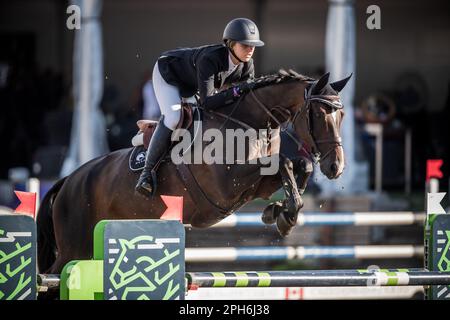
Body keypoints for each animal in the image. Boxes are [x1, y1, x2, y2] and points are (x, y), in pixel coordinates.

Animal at [37, 70, 350, 276]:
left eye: (342, 115)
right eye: (319, 114)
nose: (336, 167)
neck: (248, 123)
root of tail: (67, 181)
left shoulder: (255, 185)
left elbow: (298, 165)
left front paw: (281, 212)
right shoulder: (226, 186)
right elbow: (285, 161)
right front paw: (284, 216)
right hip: (75, 245)